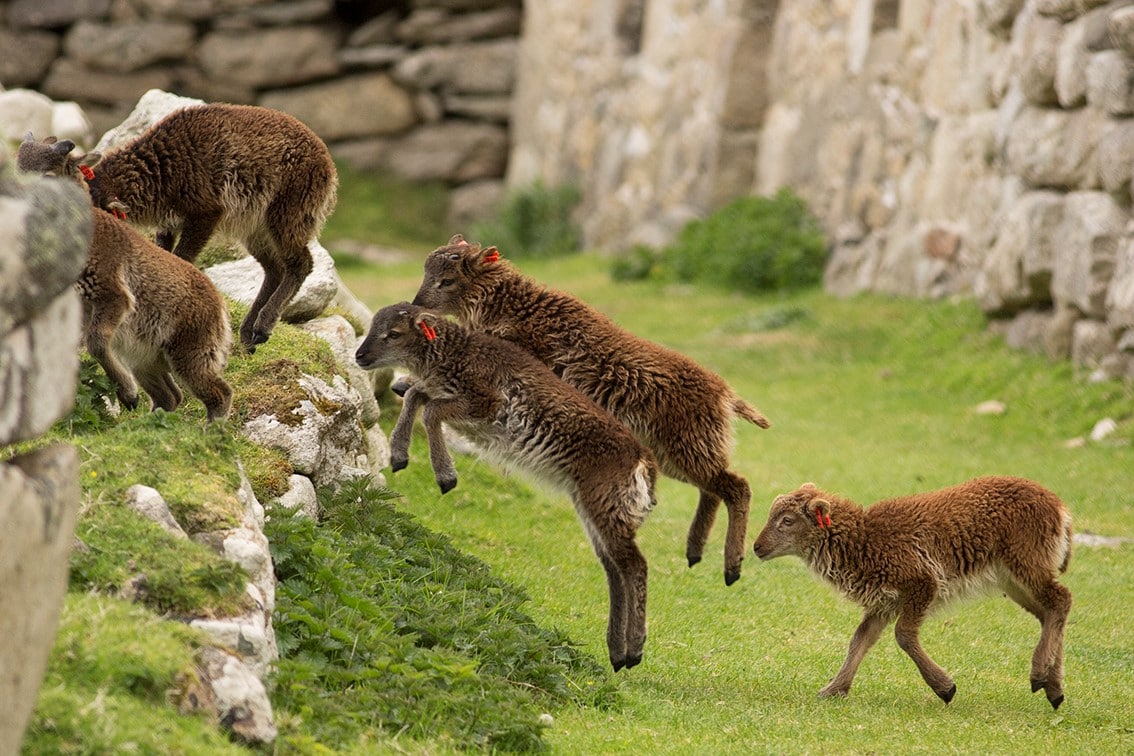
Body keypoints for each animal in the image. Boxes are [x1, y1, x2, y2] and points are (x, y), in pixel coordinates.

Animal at [27, 103, 335, 351]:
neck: (160, 170)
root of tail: (328, 166)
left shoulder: (206, 212)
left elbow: (182, 258)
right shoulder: (168, 222)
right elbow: (164, 257)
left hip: (287, 213)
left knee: (300, 263)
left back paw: (263, 326)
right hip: (254, 227)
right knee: (275, 269)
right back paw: (249, 335)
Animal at [353, 303, 657, 670]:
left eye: (394, 333)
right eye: (373, 327)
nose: (360, 355)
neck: (457, 357)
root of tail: (643, 462)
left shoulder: (487, 403)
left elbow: (430, 409)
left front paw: (445, 477)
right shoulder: (448, 394)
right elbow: (416, 395)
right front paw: (399, 455)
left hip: (607, 503)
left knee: (635, 564)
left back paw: (634, 650)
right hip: (593, 505)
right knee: (615, 568)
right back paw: (617, 652)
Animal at [410, 234, 771, 584]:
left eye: (447, 280)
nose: (416, 306)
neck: (514, 308)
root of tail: (726, 396)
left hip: (689, 447)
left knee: (737, 486)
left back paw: (731, 567)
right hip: (678, 455)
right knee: (714, 489)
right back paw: (695, 552)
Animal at [752, 478, 1070, 711]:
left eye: (787, 520)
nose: (756, 547)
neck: (866, 539)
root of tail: (1059, 507)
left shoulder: (922, 583)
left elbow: (903, 635)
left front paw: (945, 688)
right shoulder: (885, 602)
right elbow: (860, 640)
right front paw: (833, 690)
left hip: (1026, 565)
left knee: (1061, 599)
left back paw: (1039, 675)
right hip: (1012, 580)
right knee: (1049, 612)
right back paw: (1053, 688)